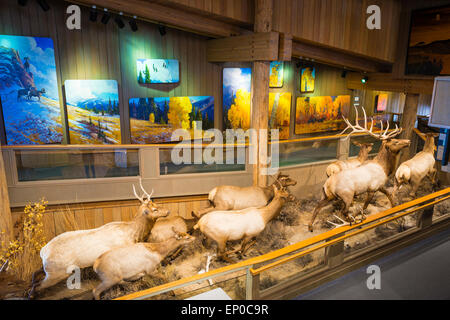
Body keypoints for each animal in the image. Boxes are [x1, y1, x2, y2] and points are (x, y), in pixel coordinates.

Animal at [29, 179, 170, 296]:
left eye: (156, 204)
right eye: (154, 209)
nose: (168, 211)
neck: (133, 234)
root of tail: (43, 251)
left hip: (48, 269)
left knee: (35, 275)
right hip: (58, 272)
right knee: (38, 285)